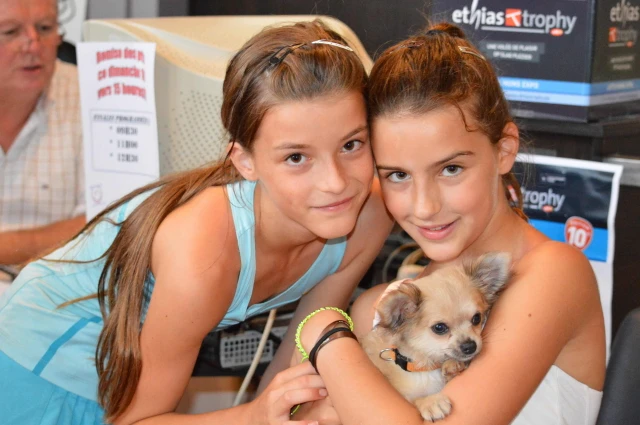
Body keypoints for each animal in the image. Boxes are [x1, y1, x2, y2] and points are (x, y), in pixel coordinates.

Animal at [361, 252, 511, 421]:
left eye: (477, 318)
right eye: (439, 328)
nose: (470, 346)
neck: (426, 367)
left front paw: (452, 366)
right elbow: (414, 399)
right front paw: (430, 402)